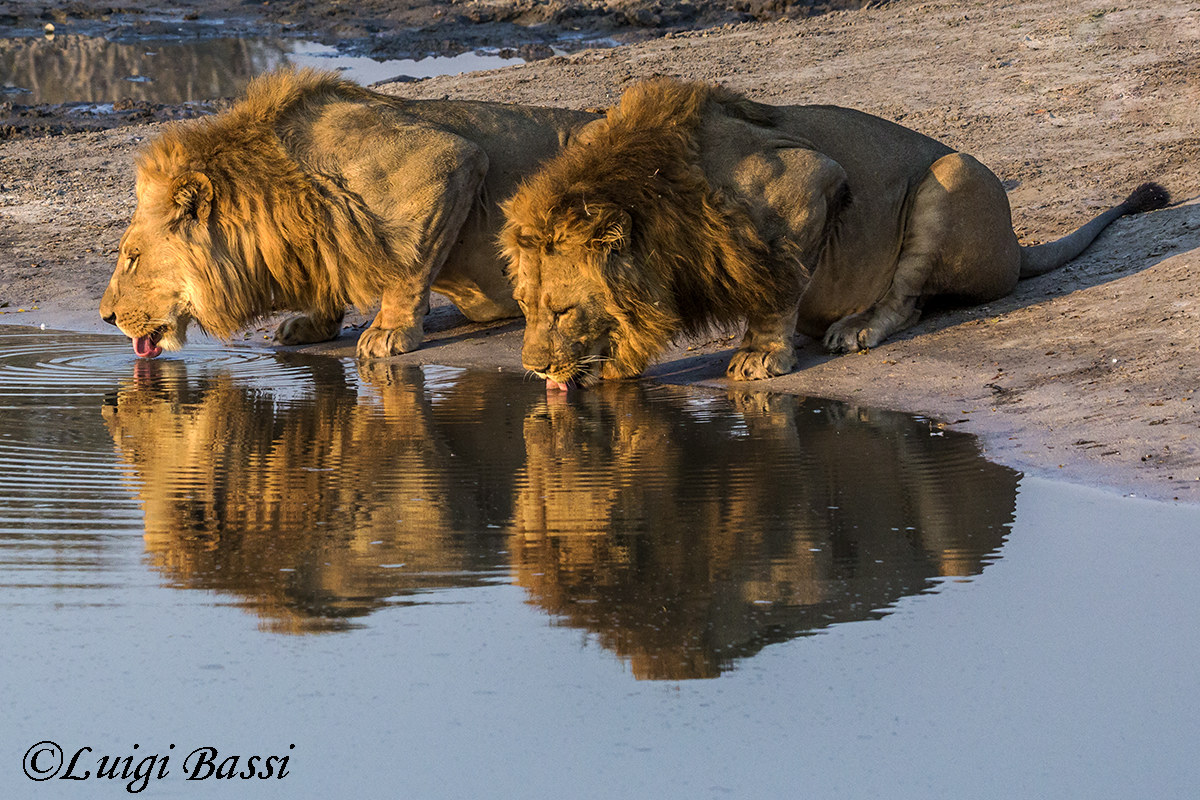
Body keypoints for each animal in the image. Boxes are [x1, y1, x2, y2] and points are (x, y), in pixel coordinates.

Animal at [99, 68, 597, 359]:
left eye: (132, 258)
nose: (105, 318)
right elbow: (329, 269)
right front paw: (311, 325)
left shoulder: (448, 161)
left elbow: (410, 264)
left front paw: (389, 332)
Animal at [500, 78, 1170, 386]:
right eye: (526, 309)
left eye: (563, 311)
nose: (532, 369)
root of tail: (1015, 246)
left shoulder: (809, 179)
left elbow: (778, 288)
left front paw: (759, 355)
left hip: (951, 176)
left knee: (908, 301)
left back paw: (857, 327)